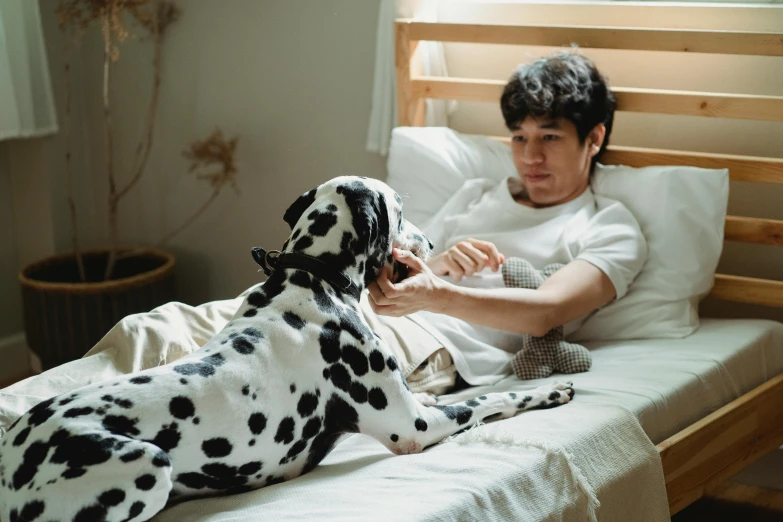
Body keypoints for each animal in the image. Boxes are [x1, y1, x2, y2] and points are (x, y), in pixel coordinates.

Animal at [0, 176, 576, 520]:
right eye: (400, 209)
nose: (431, 243)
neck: (311, 279)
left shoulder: (418, 405)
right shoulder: (415, 426)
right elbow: (491, 399)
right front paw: (550, 392)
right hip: (147, 463)